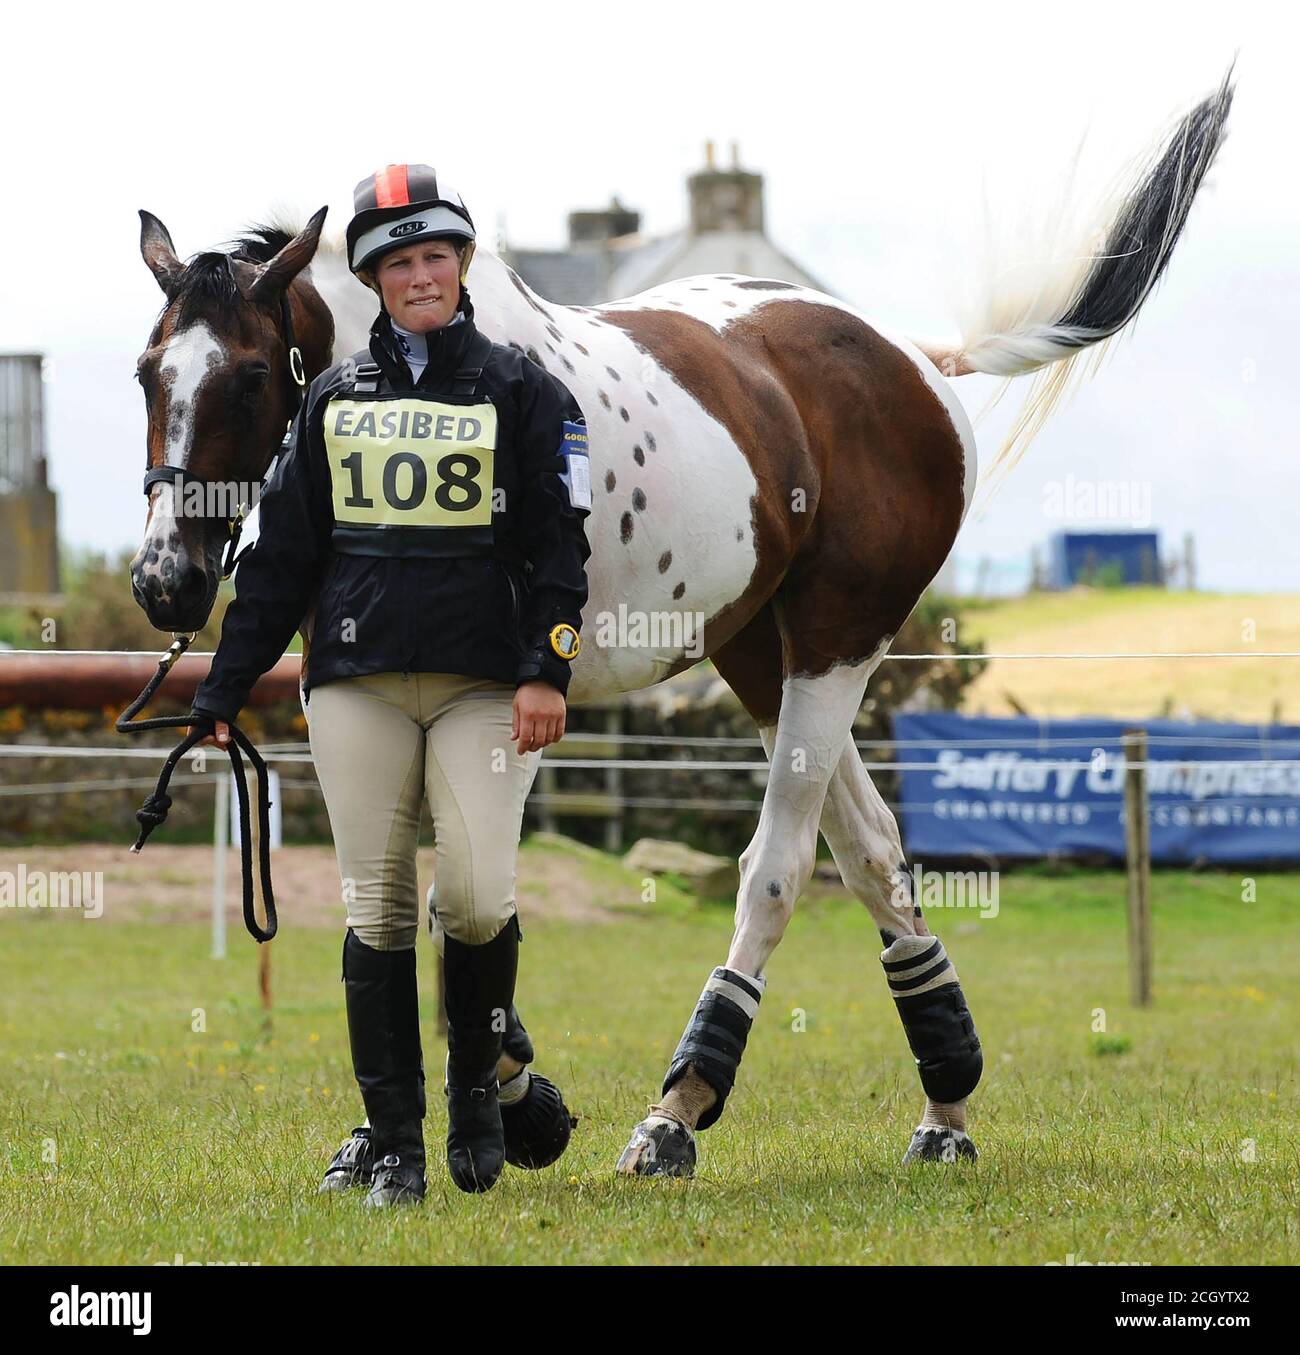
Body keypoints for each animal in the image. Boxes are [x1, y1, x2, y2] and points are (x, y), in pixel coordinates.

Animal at [134, 71, 1241, 1176]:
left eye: (247, 376)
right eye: (149, 374)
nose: (164, 583)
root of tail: (914, 360)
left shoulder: (513, 717)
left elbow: (465, 904)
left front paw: (519, 1102)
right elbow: (408, 901)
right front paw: (449, 1115)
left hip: (836, 644)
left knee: (779, 868)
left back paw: (680, 1103)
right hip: (762, 654)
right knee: (874, 851)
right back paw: (944, 1106)